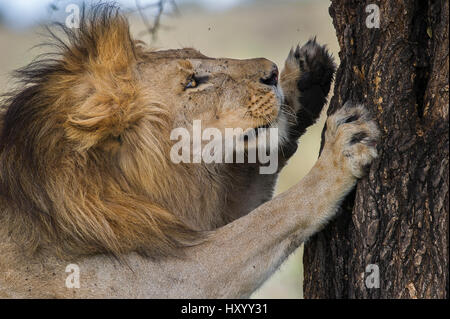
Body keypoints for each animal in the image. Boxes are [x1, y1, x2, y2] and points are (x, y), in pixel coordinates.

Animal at [0, 4, 380, 300]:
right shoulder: (161, 280)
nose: (272, 72)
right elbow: (271, 217)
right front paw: (341, 153)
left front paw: (304, 79)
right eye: (192, 83)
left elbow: (253, 179)